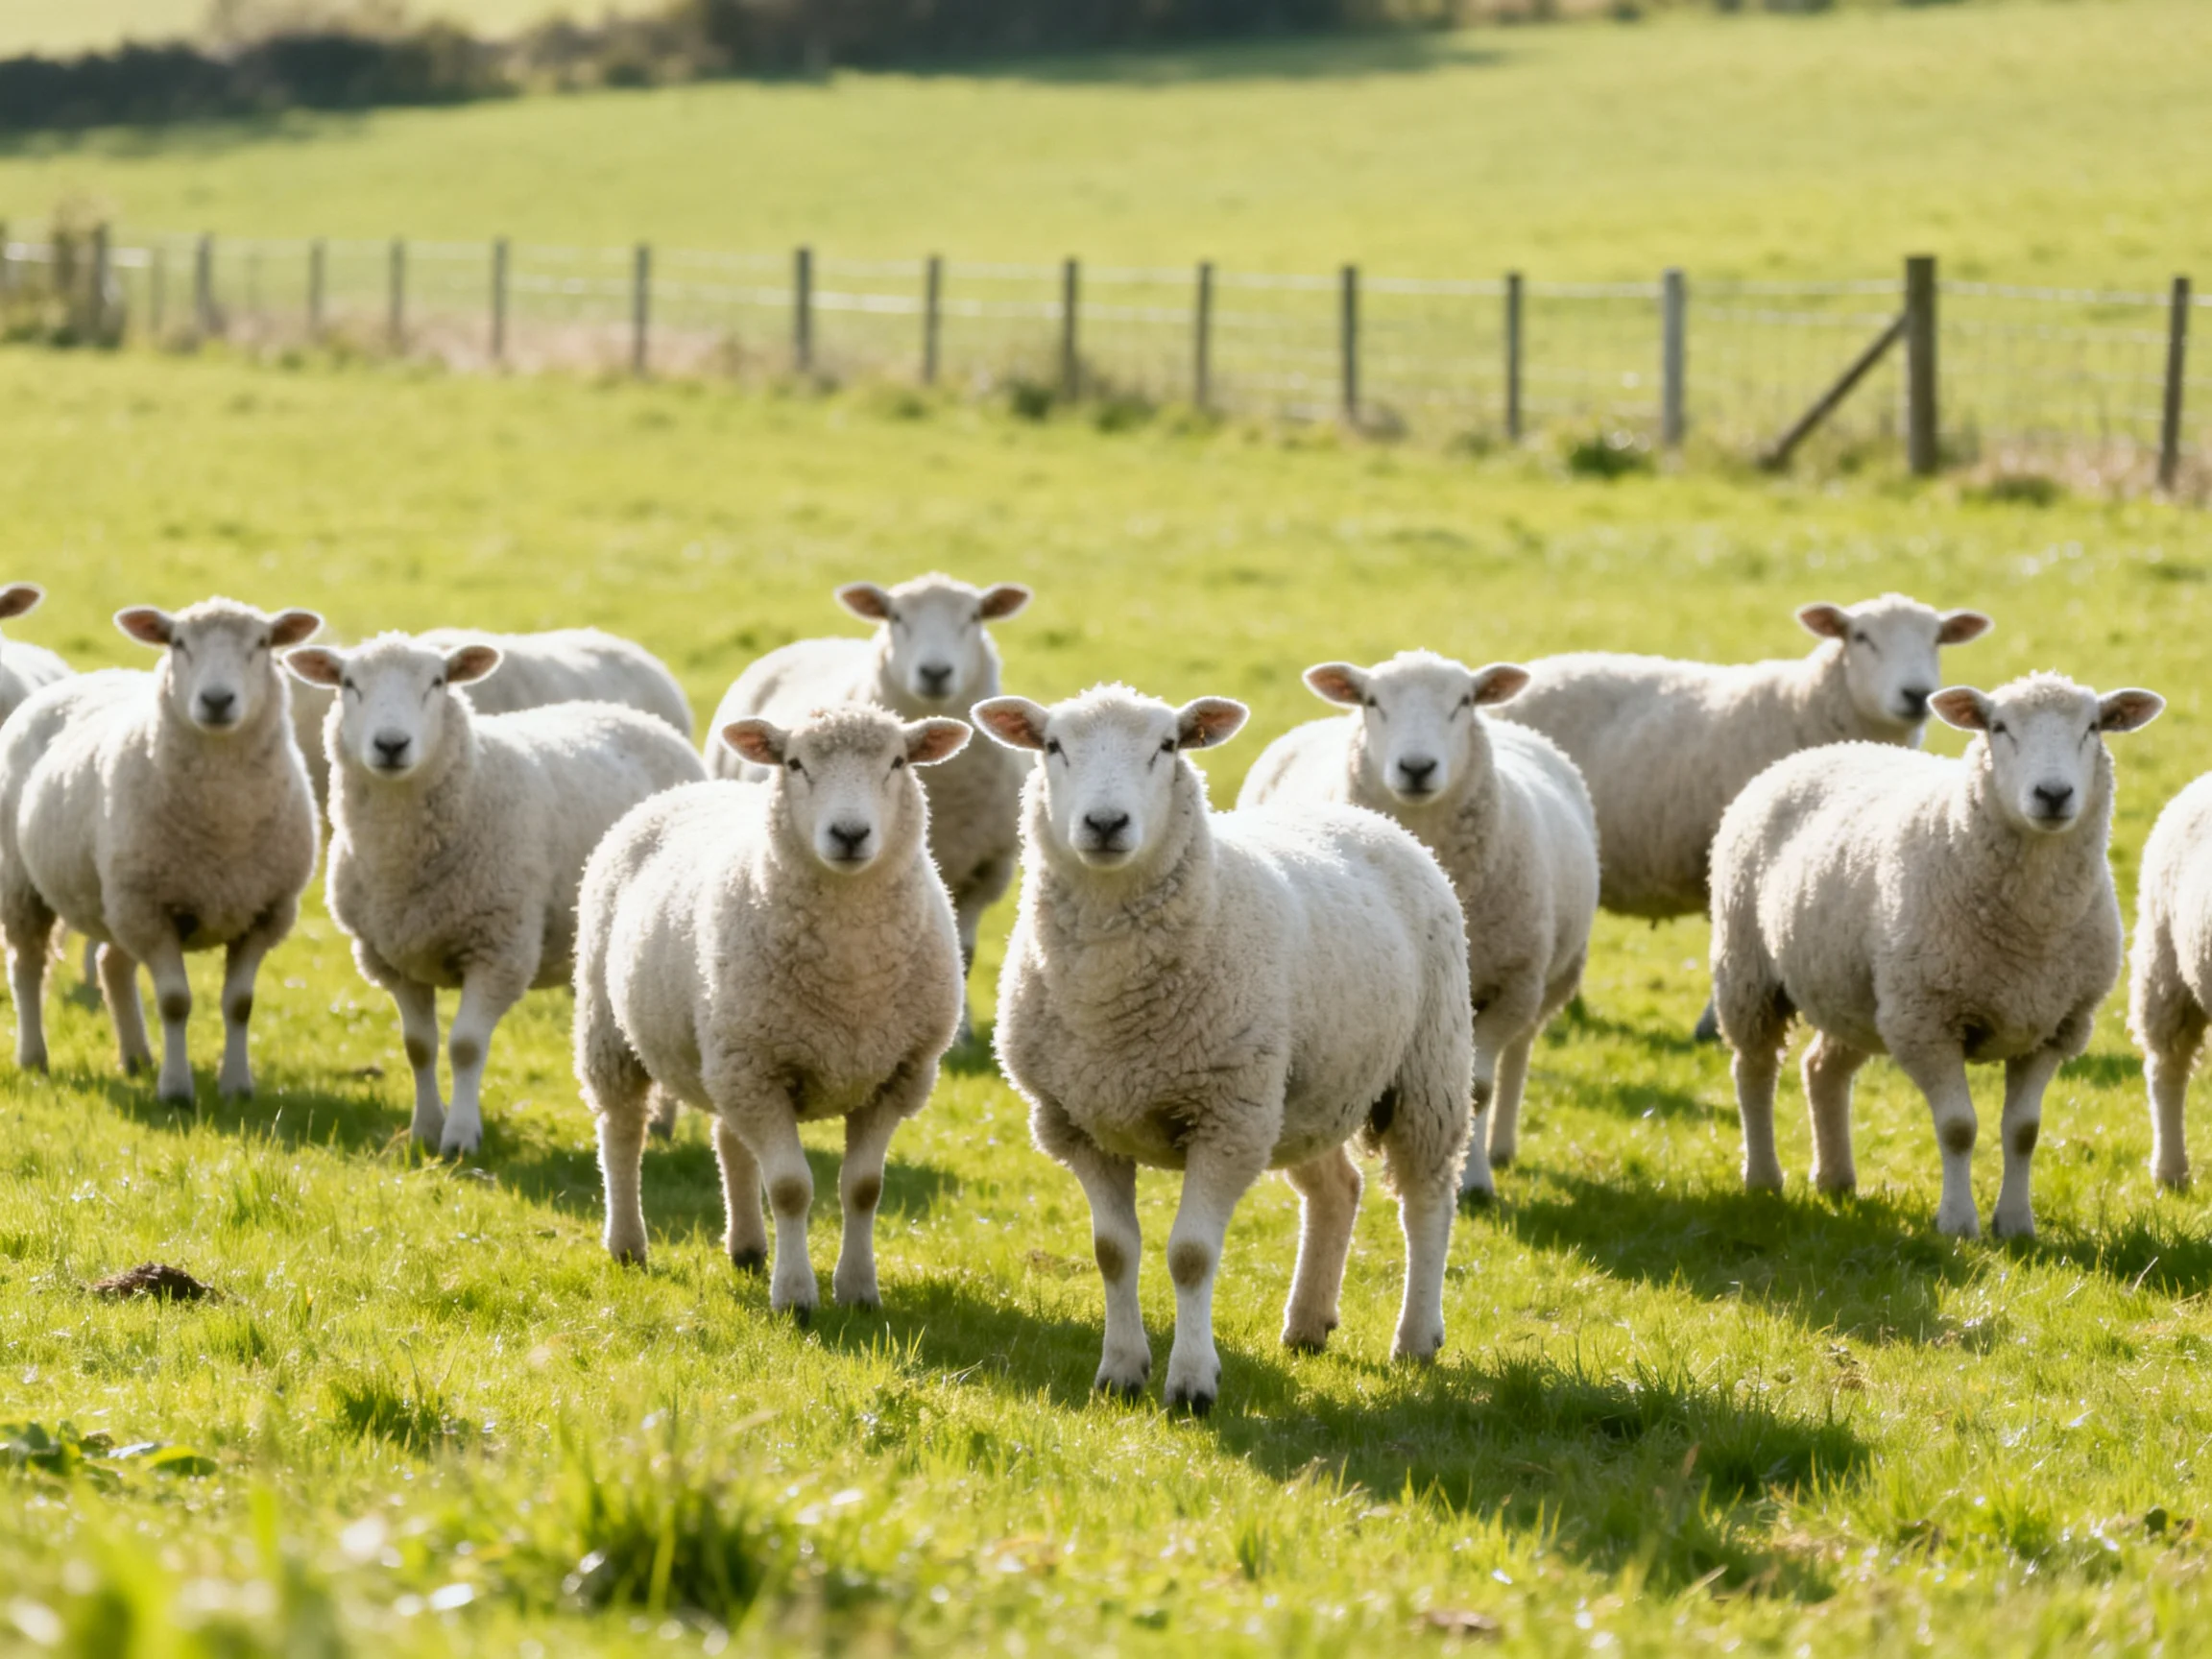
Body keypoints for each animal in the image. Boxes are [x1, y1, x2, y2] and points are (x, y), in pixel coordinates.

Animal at [577, 704, 971, 1318]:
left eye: (898, 762)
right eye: (795, 763)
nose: (849, 834)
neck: (851, 974)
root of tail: (690, 787)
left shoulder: (895, 1074)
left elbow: (863, 1188)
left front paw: (858, 1290)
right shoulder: (759, 1070)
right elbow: (789, 1188)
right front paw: (795, 1297)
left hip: (728, 1052)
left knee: (729, 1144)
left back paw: (746, 1248)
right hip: (614, 1032)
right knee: (621, 1134)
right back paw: (627, 1245)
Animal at [707, 574, 1031, 1032]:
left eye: (973, 617)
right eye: (896, 617)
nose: (935, 673)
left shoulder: (985, 872)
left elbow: (964, 955)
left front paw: (963, 1031)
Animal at [975, 683, 1473, 1415]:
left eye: (1167, 746)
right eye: (1052, 746)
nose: (1105, 823)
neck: (1111, 1003)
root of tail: (1366, 817)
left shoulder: (1225, 1118)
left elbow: (1191, 1256)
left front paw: (1191, 1383)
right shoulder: (1077, 1123)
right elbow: (1112, 1250)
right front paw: (1120, 1371)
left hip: (1427, 1068)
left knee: (1427, 1199)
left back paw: (1415, 1338)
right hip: (1302, 1091)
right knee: (1339, 1190)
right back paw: (1307, 1324)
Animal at [1238, 650, 1598, 1194]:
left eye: (1464, 701)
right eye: (1372, 701)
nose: (1416, 767)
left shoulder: (1513, 985)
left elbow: (1478, 1087)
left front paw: (1475, 1183)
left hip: (1553, 976)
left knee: (1520, 1051)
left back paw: (1502, 1145)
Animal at [1709, 672, 2162, 1238]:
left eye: (2094, 727)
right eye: (1998, 727)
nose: (2053, 794)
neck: (2030, 929)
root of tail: (1817, 751)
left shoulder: (2054, 1026)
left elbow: (2024, 1131)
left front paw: (2016, 1225)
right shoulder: (1928, 1021)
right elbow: (1958, 1128)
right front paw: (1958, 1223)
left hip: (1860, 996)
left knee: (1821, 1069)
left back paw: (1836, 1179)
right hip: (1749, 971)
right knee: (1753, 1070)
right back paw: (1763, 1178)